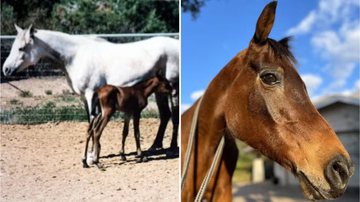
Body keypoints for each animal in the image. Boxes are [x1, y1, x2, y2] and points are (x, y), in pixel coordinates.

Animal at [2, 24, 180, 152]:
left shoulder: (90, 95)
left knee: (174, 115)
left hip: (173, 88)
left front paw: (91, 155)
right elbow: (91, 125)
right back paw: (155, 146)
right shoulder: (84, 97)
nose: (6, 69)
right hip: (160, 91)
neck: (75, 56)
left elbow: (92, 123)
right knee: (165, 115)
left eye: (21, 48)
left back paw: (171, 147)